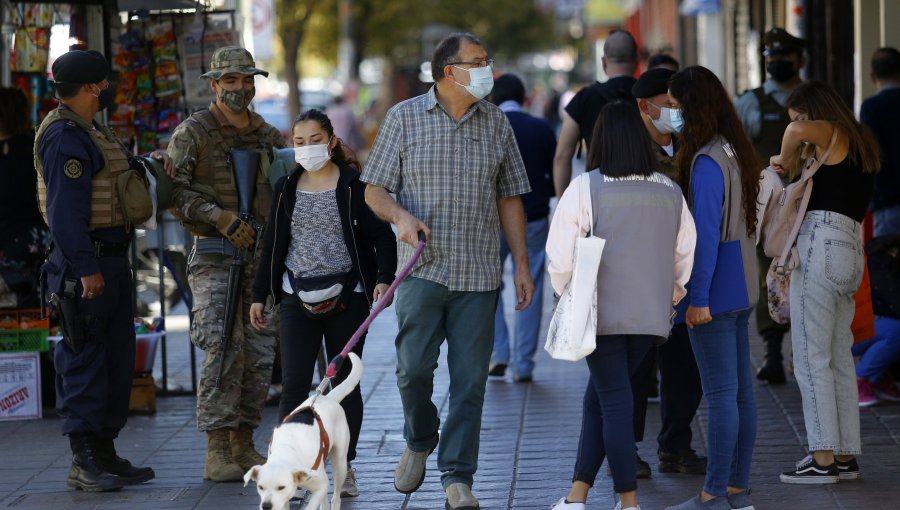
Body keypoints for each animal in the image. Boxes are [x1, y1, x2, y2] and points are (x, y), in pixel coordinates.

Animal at [244, 352, 364, 508]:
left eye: (281, 487)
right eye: (260, 487)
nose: (266, 506)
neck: (288, 448)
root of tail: (328, 397)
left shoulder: (321, 486)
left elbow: (312, 505)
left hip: (340, 463)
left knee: (335, 497)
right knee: (325, 502)